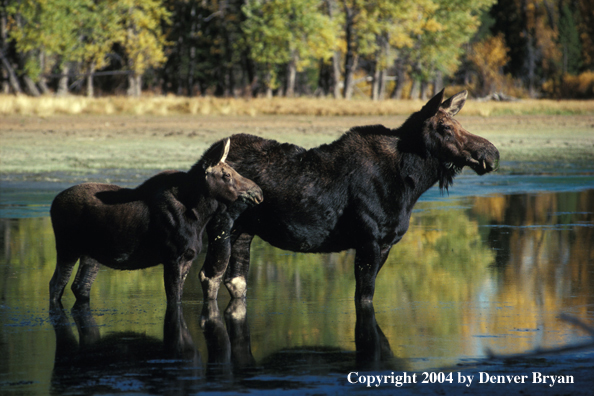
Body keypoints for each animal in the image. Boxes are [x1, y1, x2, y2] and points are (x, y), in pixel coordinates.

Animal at [49, 138, 262, 308]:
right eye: (227, 175)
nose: (258, 192)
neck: (199, 216)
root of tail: (52, 204)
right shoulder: (172, 256)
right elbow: (174, 299)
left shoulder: (188, 257)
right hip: (67, 248)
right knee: (56, 284)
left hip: (91, 254)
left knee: (80, 286)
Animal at [200, 89, 500, 304]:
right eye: (446, 128)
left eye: (459, 123)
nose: (492, 153)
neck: (410, 183)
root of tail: (204, 159)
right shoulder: (369, 239)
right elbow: (364, 297)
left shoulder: (387, 244)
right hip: (221, 225)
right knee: (209, 276)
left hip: (244, 229)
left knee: (236, 281)